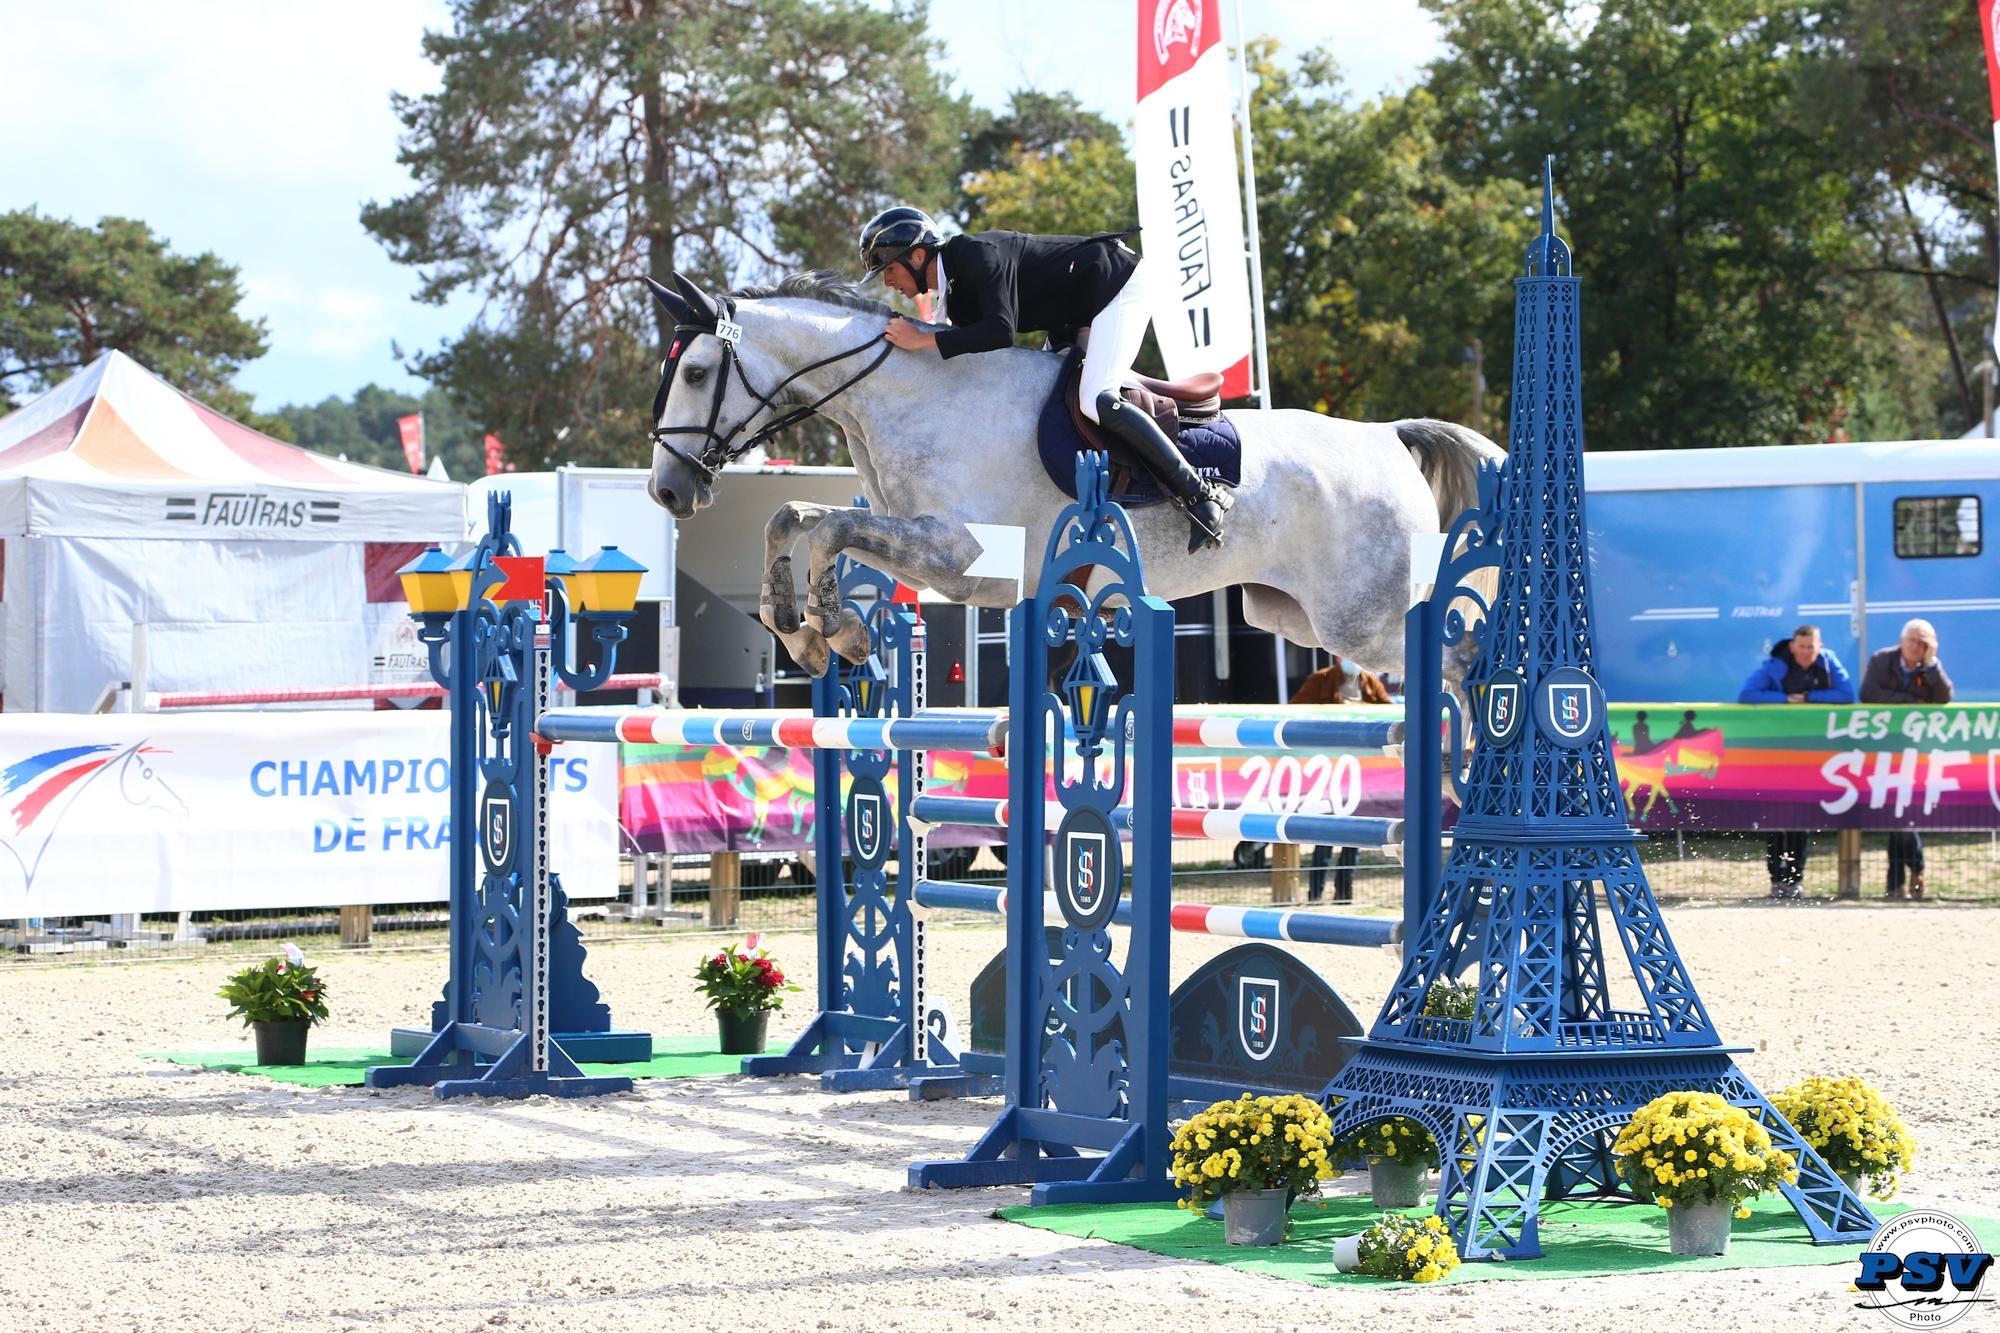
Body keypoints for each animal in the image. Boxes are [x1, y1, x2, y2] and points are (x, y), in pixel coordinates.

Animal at [644, 272, 1504, 684]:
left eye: (695, 372)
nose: (667, 492)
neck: (915, 395)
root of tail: (1388, 437)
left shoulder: (963, 558)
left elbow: (829, 528)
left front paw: (838, 630)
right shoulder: (926, 548)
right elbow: (792, 516)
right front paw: (802, 633)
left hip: (1365, 619)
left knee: (1464, 662)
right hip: (1294, 616)